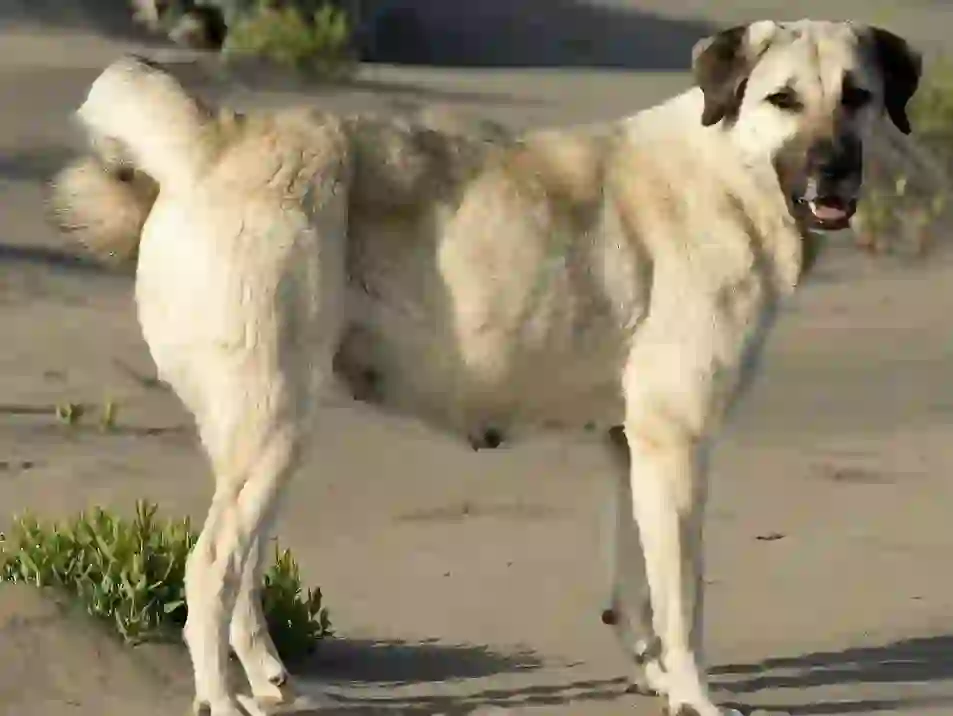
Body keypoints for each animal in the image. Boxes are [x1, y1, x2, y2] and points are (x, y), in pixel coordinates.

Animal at [46, 19, 924, 712]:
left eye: (856, 96)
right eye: (782, 100)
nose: (833, 171)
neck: (730, 168)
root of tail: (215, 138)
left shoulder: (630, 445)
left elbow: (635, 586)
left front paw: (652, 676)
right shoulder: (676, 445)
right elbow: (683, 601)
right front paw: (695, 697)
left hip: (268, 438)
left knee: (242, 575)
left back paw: (270, 686)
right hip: (273, 429)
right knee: (207, 574)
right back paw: (222, 700)